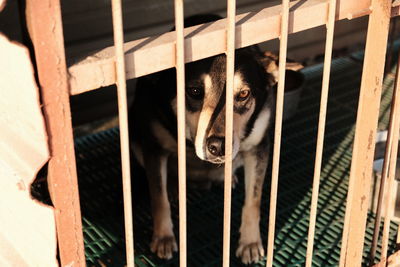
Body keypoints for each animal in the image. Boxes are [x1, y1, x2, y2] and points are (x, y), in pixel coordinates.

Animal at [130, 14, 276, 266]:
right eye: (195, 91)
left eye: (244, 94)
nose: (218, 147)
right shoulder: (153, 148)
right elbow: (158, 198)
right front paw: (163, 237)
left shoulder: (258, 148)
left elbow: (253, 201)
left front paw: (250, 242)